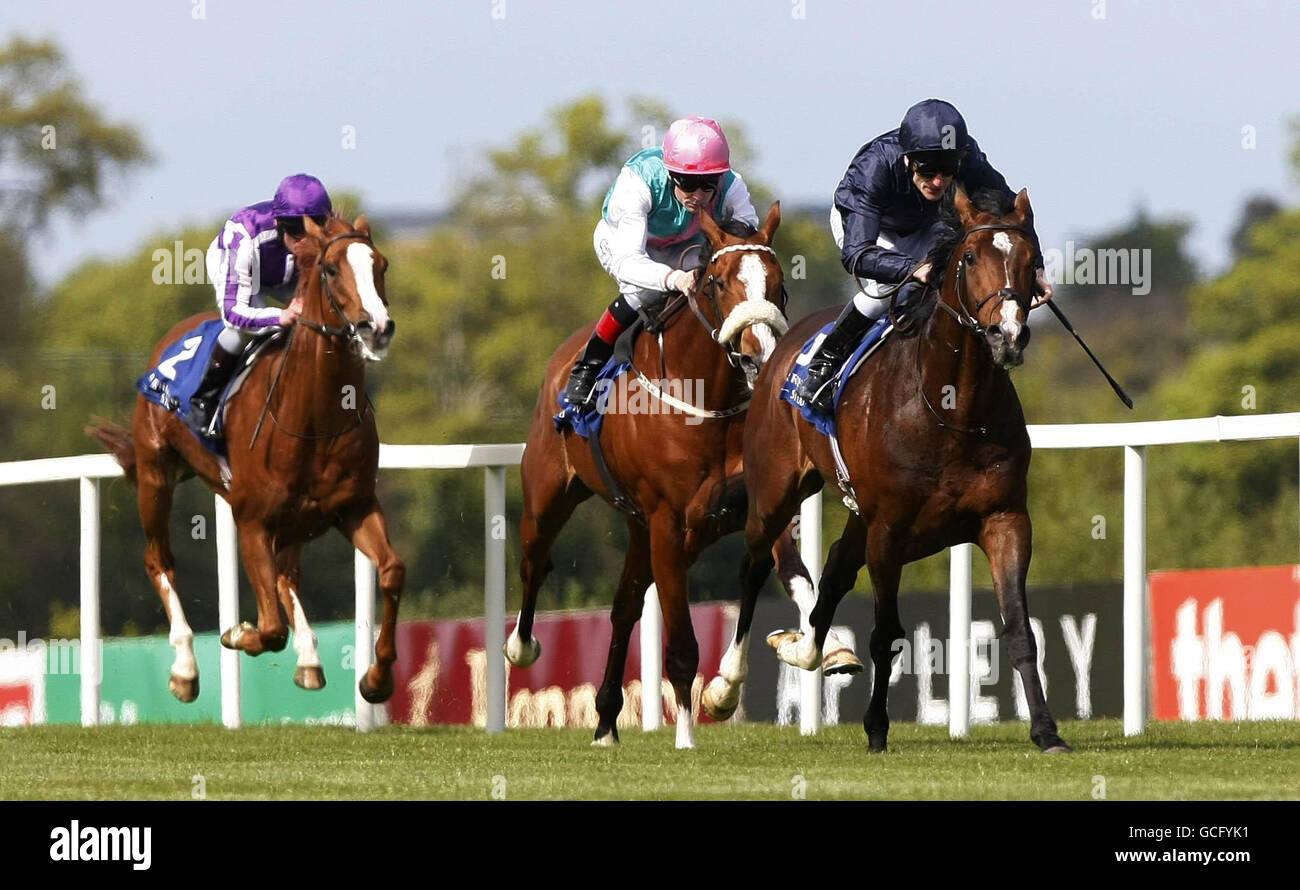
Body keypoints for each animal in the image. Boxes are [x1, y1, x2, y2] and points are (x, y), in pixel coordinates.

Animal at [89, 211, 403, 706]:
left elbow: (391, 571)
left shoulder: (354, 506)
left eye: (381, 265)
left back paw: (309, 659)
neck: (315, 419)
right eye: (332, 269)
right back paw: (184, 667)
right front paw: (237, 633)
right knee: (159, 561)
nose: (377, 327)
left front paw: (377, 677)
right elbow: (270, 628)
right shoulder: (252, 520)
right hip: (156, 473)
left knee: (287, 576)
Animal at [506, 205, 863, 748]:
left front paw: (827, 649)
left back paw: (606, 721)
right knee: (534, 563)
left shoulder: (749, 505)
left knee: (624, 606)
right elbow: (681, 643)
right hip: (551, 496)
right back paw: (521, 647)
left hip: (644, 528)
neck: (705, 402)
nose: (759, 355)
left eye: (779, 283)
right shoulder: (667, 522)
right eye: (717, 282)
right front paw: (687, 737)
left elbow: (795, 575)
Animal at [728, 185, 1071, 748]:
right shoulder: (889, 529)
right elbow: (885, 634)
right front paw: (875, 728)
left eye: (1030, 258)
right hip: (774, 491)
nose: (1008, 334)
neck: (953, 409)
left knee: (835, 567)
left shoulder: (1005, 520)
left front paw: (1046, 731)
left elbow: (1021, 629)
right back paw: (724, 684)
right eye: (970, 257)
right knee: (756, 564)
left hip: (857, 512)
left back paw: (807, 649)